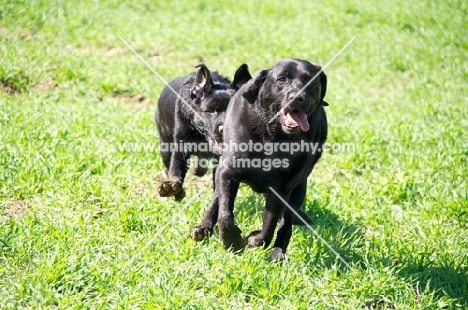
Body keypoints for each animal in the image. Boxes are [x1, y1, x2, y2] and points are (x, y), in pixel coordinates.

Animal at [155, 63, 252, 201]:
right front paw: (172, 185)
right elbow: (176, 167)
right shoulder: (181, 143)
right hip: (165, 146)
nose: (224, 129)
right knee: (168, 165)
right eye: (210, 111)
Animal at [190, 58, 330, 260]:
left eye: (310, 81)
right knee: (217, 200)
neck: (271, 136)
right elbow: (225, 214)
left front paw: (255, 239)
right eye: (282, 79)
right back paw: (203, 228)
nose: (298, 97)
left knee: (286, 223)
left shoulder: (283, 187)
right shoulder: (228, 172)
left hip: (299, 188)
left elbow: (270, 225)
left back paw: (278, 253)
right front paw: (232, 242)